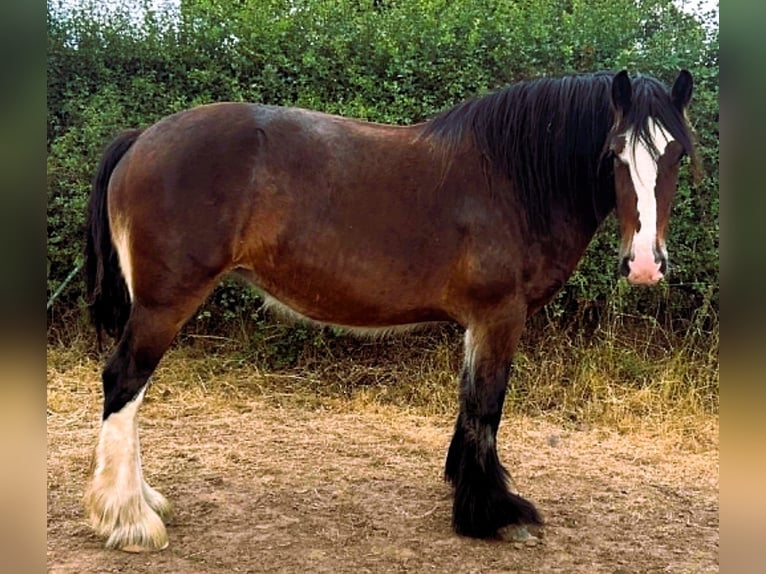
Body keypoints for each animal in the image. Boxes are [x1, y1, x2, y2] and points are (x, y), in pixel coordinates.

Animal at [83, 70, 696, 551]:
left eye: (677, 154)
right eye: (615, 152)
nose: (645, 264)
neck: (511, 178)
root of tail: (143, 139)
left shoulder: (478, 323)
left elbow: (470, 403)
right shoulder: (501, 315)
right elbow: (487, 406)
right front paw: (492, 513)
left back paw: (144, 502)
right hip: (166, 302)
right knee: (124, 382)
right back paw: (128, 520)